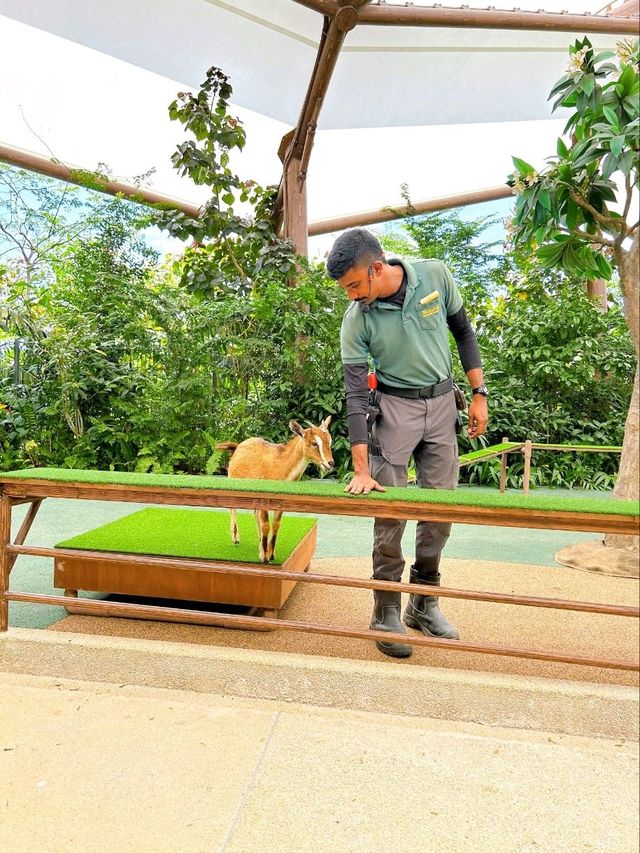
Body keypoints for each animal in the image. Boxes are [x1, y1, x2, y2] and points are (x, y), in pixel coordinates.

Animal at [216, 416, 336, 564]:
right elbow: (266, 525)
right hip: (233, 481)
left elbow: (276, 524)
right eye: (314, 443)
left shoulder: (281, 503)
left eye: (329, 441)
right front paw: (264, 557)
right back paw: (236, 538)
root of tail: (238, 446)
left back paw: (259, 541)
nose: (330, 463)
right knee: (232, 508)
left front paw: (271, 553)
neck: (280, 466)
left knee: (255, 514)